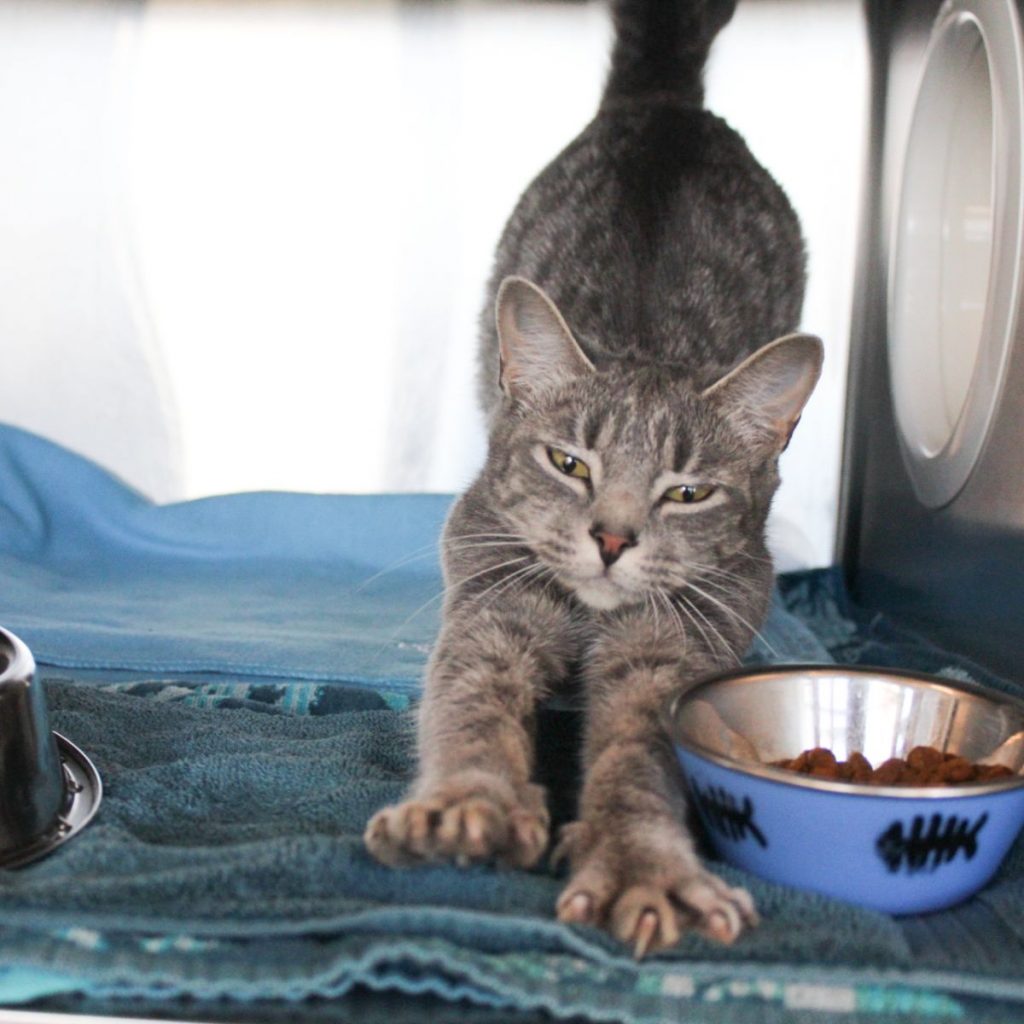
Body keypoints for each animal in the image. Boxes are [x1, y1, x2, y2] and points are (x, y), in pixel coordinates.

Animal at [364, 0, 819, 958]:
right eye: (569, 463)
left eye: (687, 491)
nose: (611, 537)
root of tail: (666, 100)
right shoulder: (493, 605)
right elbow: (469, 709)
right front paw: (464, 804)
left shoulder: (667, 653)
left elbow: (635, 760)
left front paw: (642, 866)